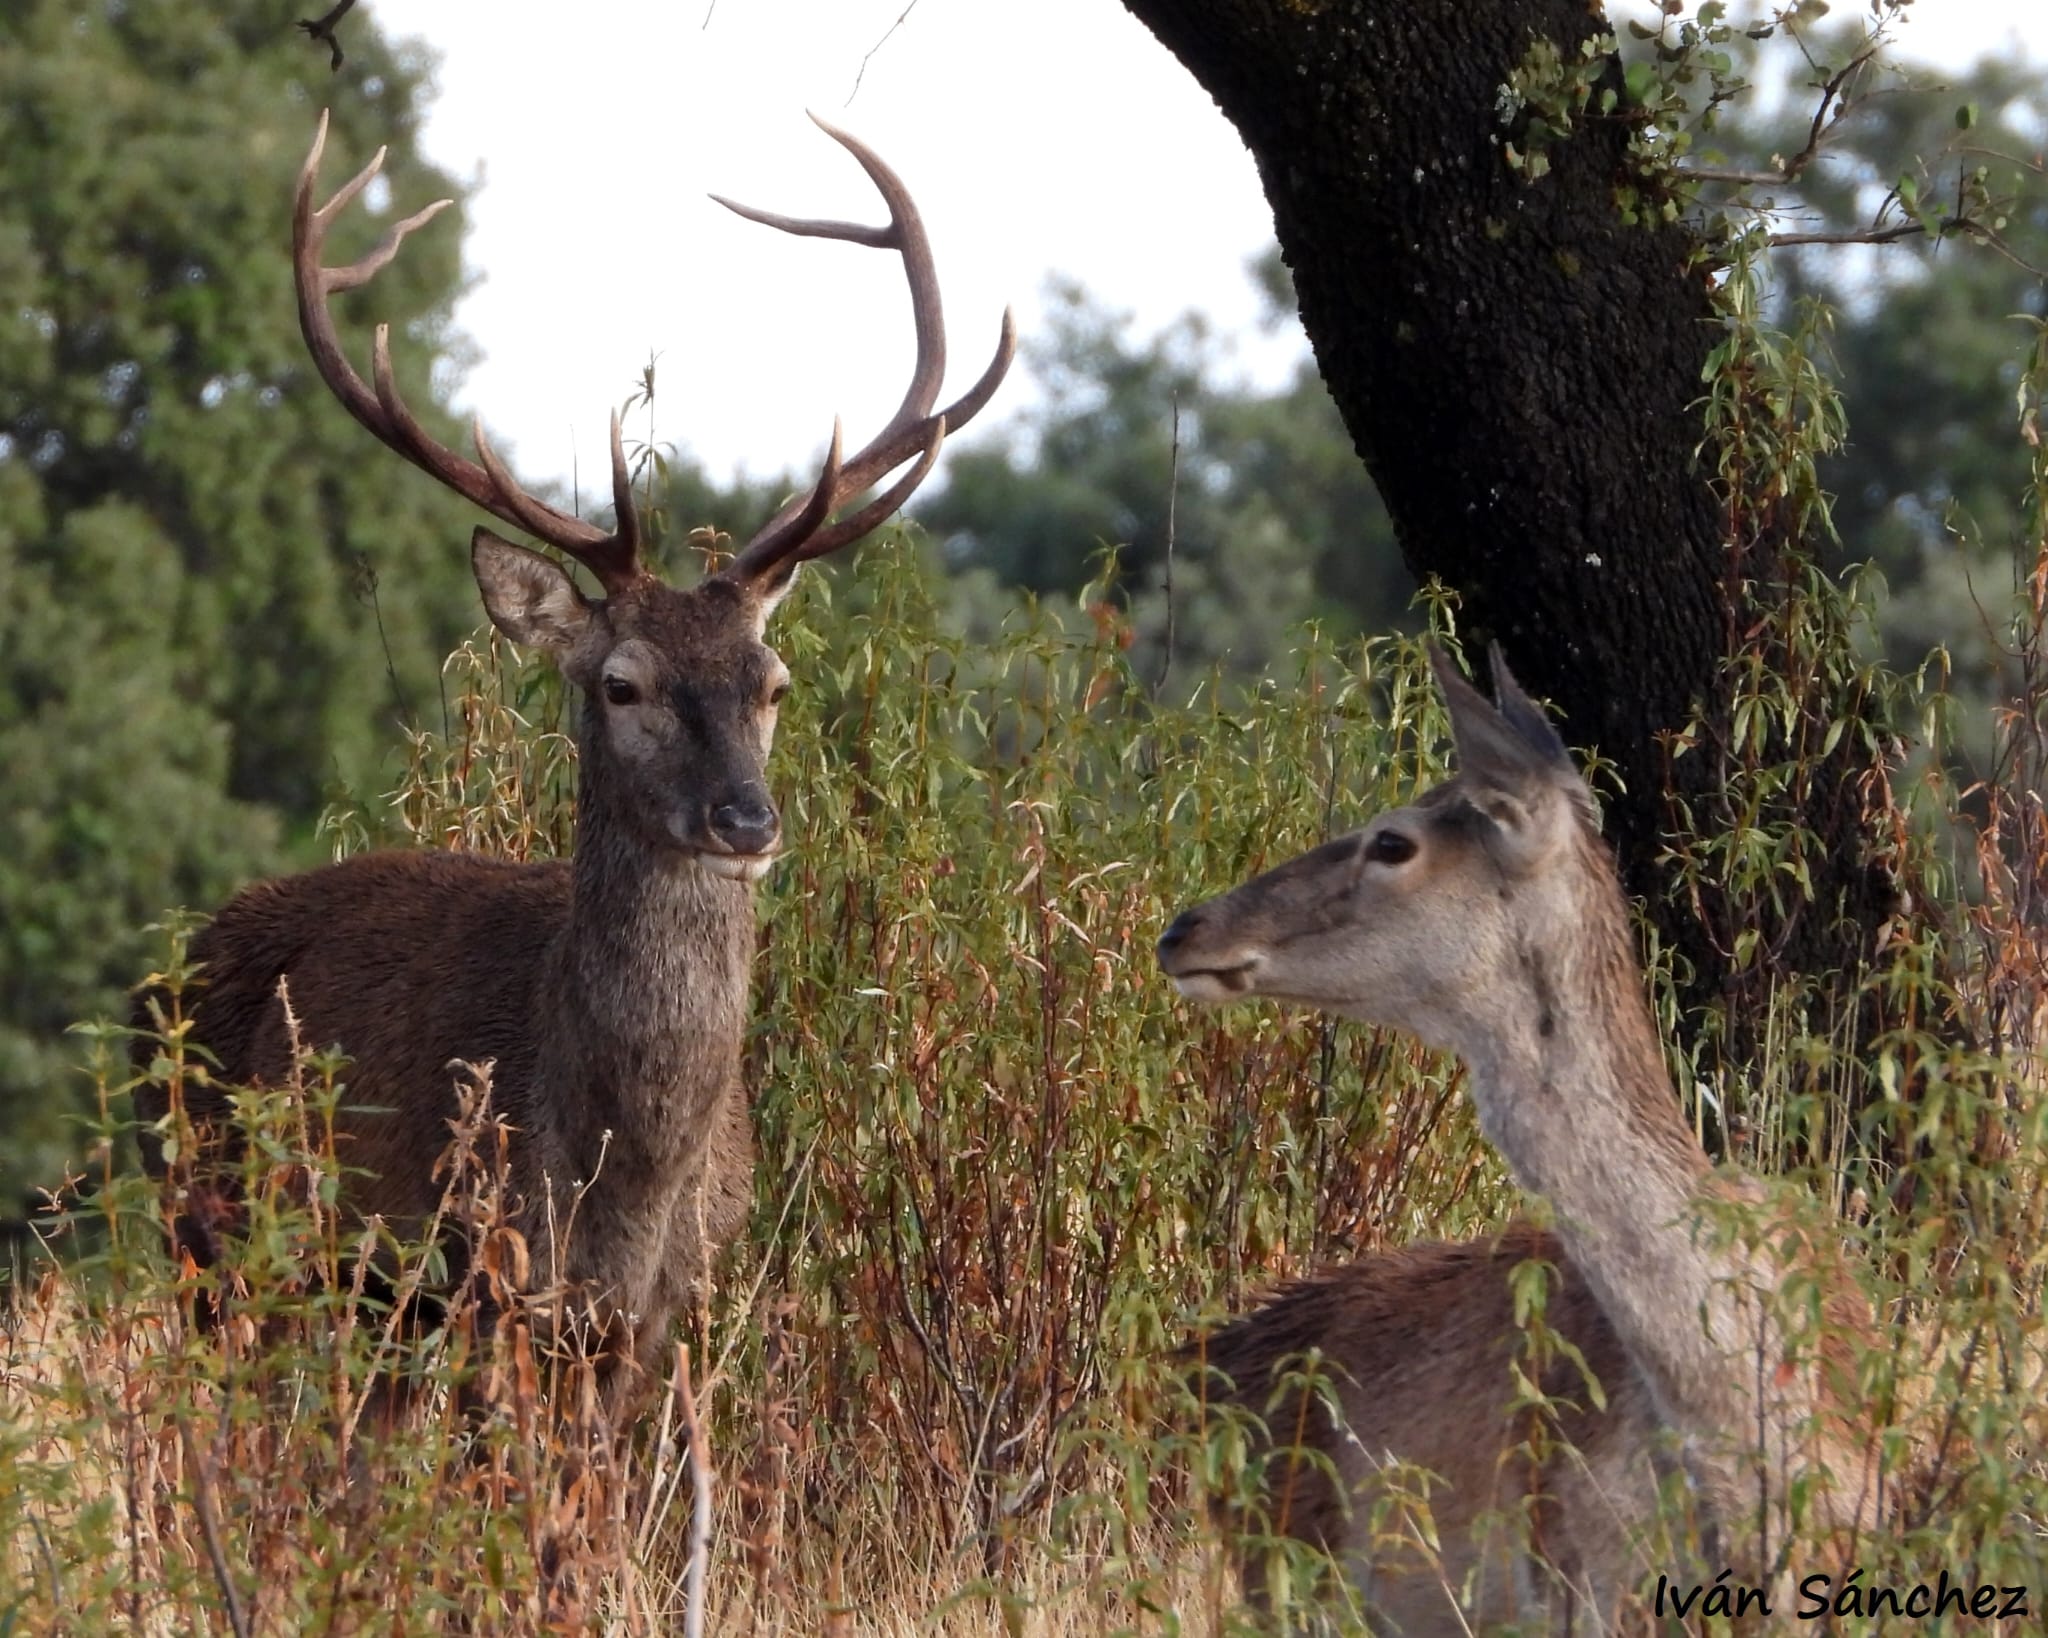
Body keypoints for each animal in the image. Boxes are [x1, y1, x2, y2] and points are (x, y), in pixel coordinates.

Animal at [135, 110, 1013, 1402]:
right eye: (621, 684)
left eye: (773, 684)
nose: (745, 822)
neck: (614, 1181)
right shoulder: (473, 1282)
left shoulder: (673, 1311)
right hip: (222, 1243)